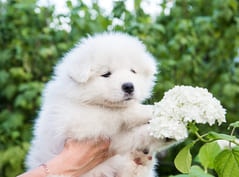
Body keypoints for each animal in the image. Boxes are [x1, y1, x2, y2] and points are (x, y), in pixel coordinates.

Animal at [26, 32, 170, 176]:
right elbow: (119, 112)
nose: (129, 86)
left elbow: (135, 135)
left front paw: (165, 133)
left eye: (133, 71)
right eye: (106, 74)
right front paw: (150, 110)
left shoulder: (114, 141)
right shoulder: (77, 120)